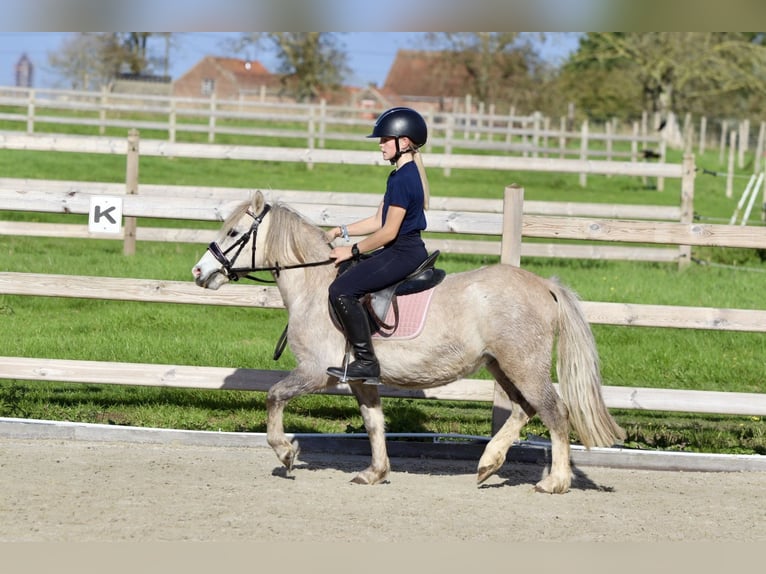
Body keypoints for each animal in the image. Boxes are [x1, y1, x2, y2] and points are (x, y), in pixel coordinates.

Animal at [190, 192, 624, 496]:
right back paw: (487, 464)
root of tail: (545, 285)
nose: (199, 271)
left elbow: (274, 396)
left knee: (555, 413)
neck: (314, 286)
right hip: (501, 364)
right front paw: (375, 473)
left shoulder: (315, 373)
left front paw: (285, 453)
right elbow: (373, 423)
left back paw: (554, 482)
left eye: (233, 233)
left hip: (523, 364)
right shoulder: (360, 378)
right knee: (524, 409)